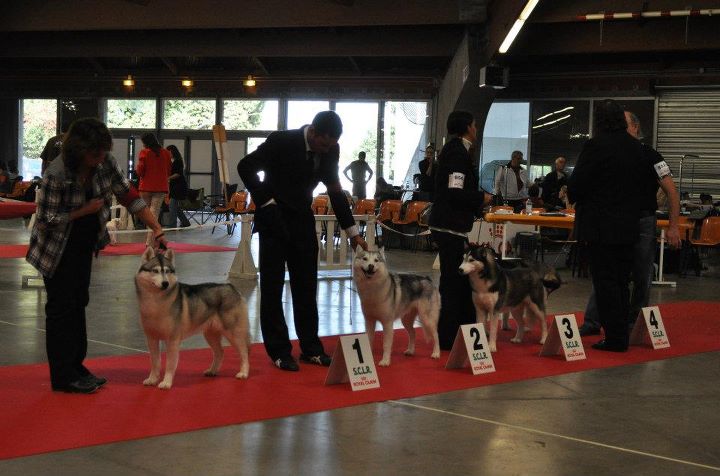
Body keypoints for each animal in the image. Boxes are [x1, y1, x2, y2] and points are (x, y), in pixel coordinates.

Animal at [135, 247, 250, 389]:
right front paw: (152, 379)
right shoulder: (152, 339)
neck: (156, 302)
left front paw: (166, 382)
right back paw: (212, 371)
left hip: (233, 332)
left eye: (167, 271)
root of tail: (232, 288)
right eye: (155, 271)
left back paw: (243, 373)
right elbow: (155, 362)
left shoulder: (172, 340)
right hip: (210, 334)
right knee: (220, 352)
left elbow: (170, 364)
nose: (165, 283)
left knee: (244, 352)